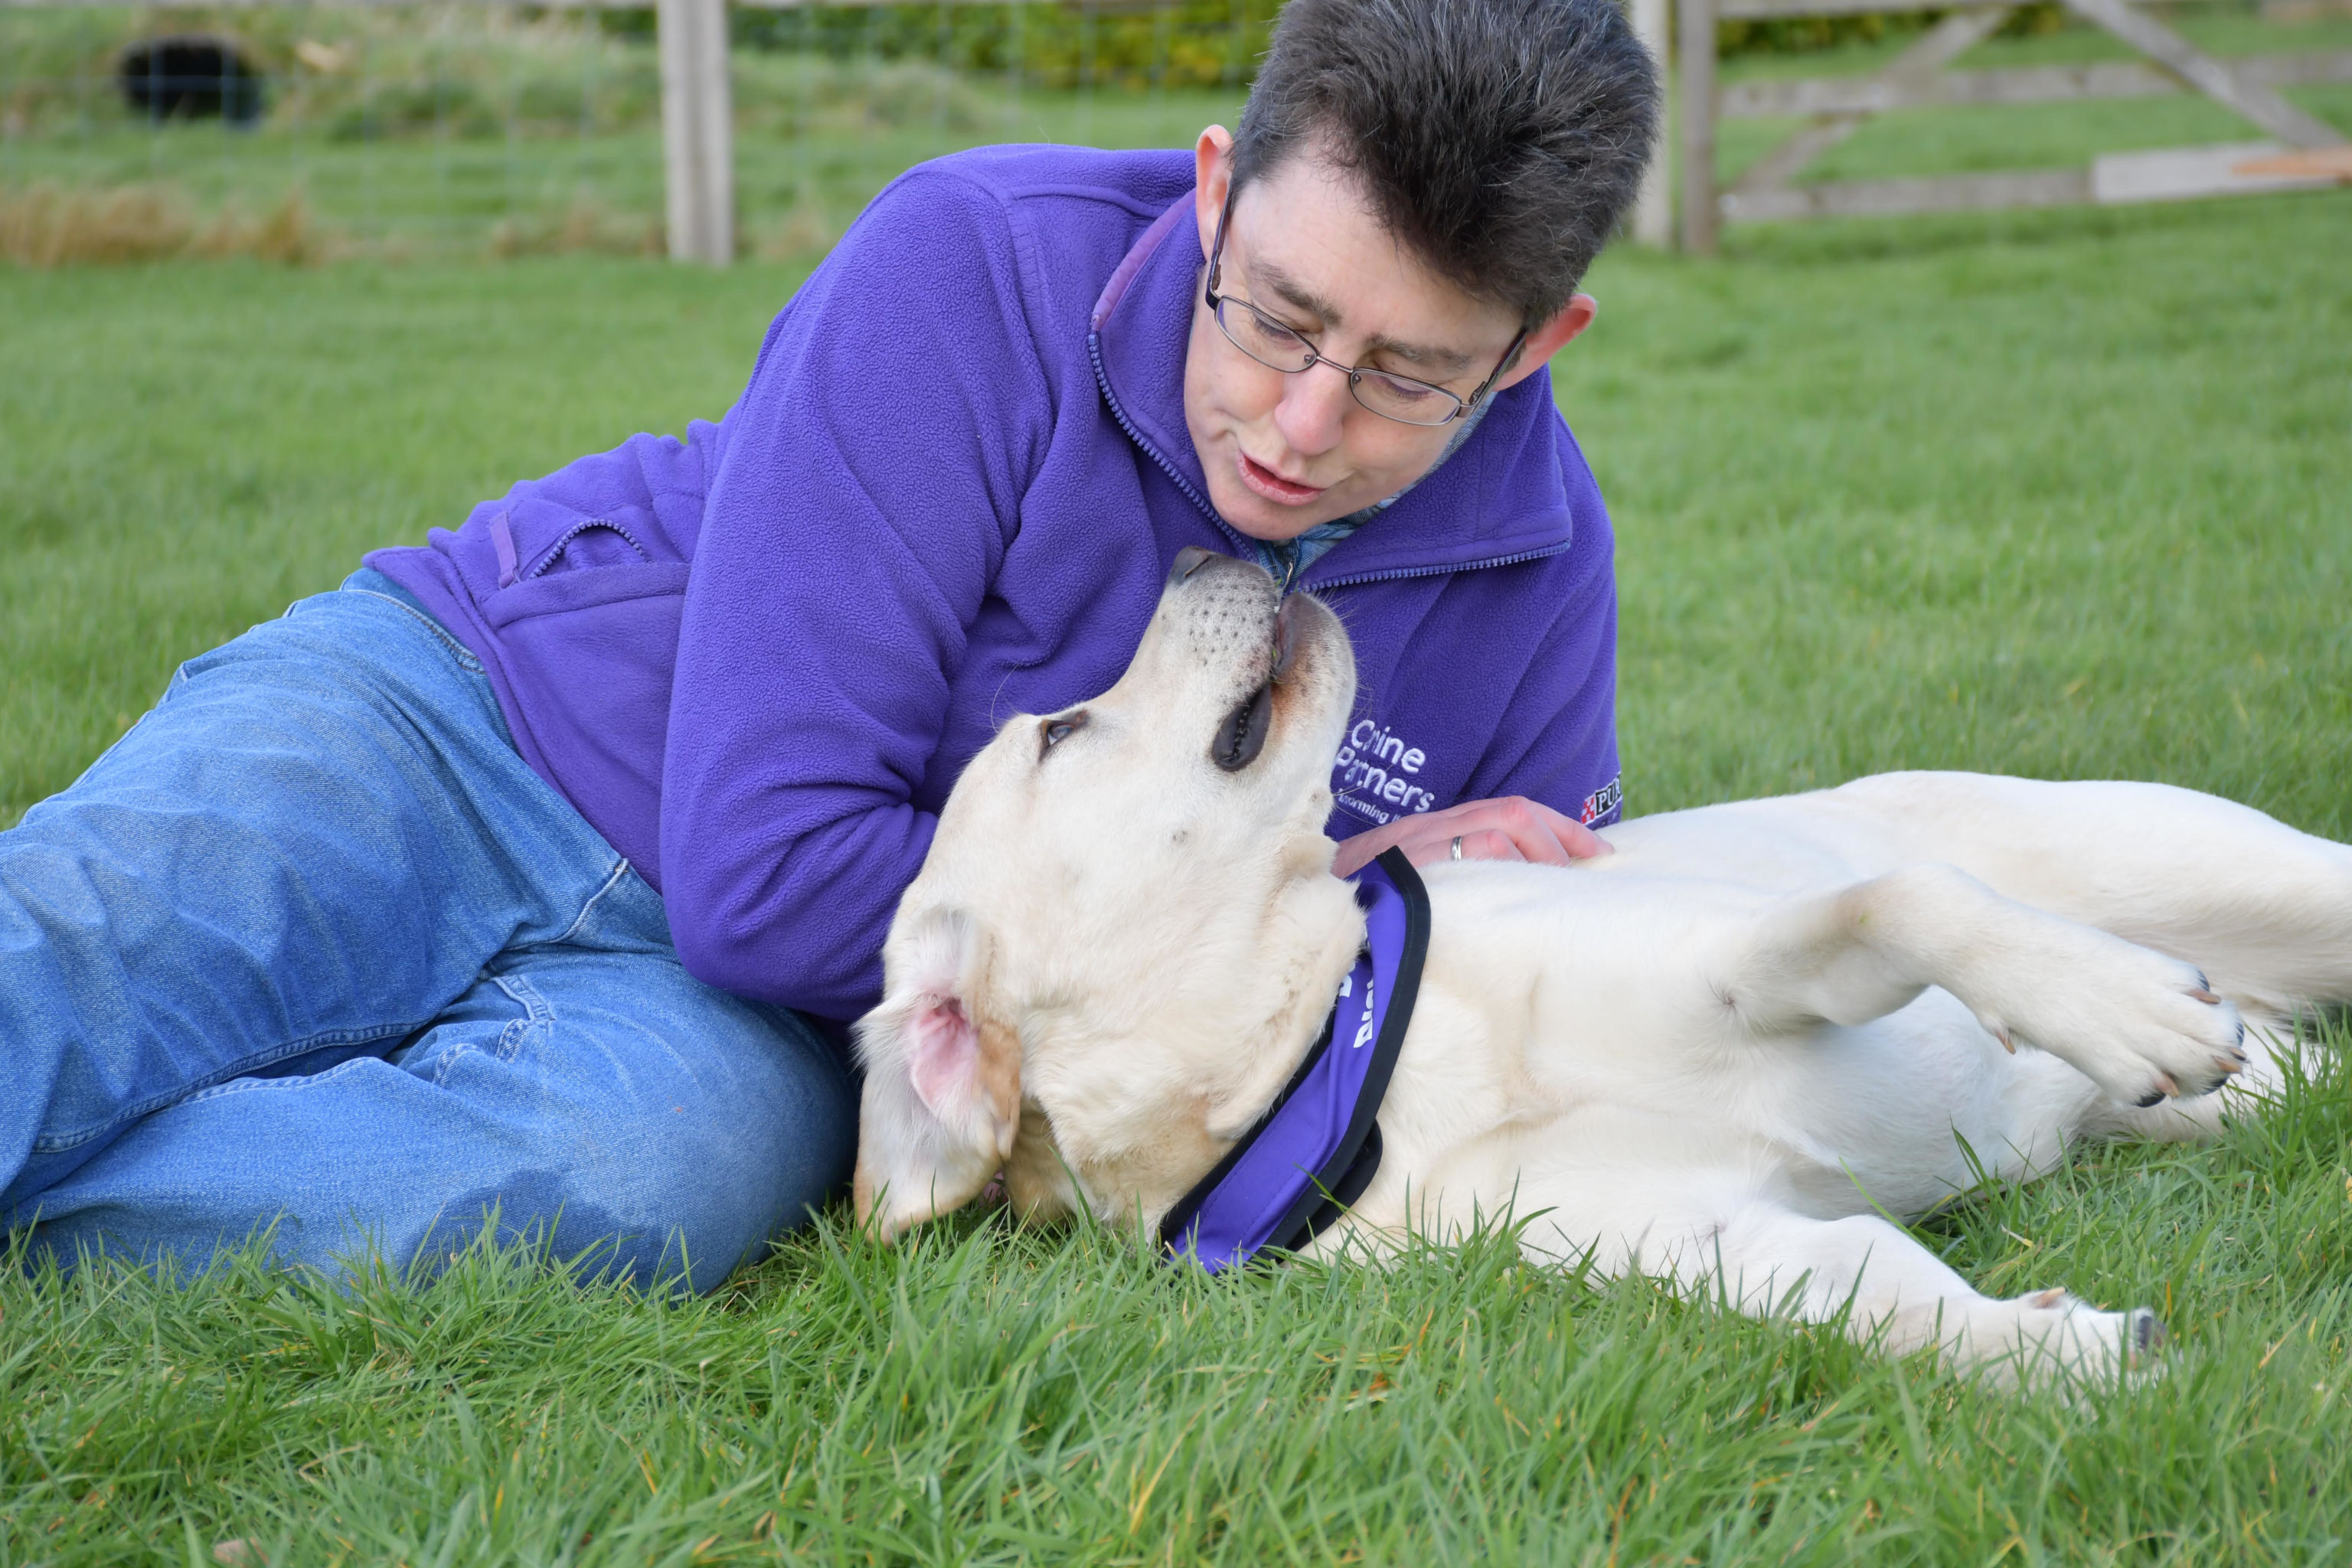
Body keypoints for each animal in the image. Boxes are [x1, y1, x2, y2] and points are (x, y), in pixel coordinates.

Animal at [856, 552, 2342, 1382]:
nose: (1192, 545)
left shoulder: (1752, 956)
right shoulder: (1723, 1244)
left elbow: (1894, 902)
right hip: (2248, 1098)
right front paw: (2066, 1350)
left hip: (2249, 876)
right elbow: (1879, 1304)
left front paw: (2118, 1006)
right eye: (1060, 731)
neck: (1337, 1062)